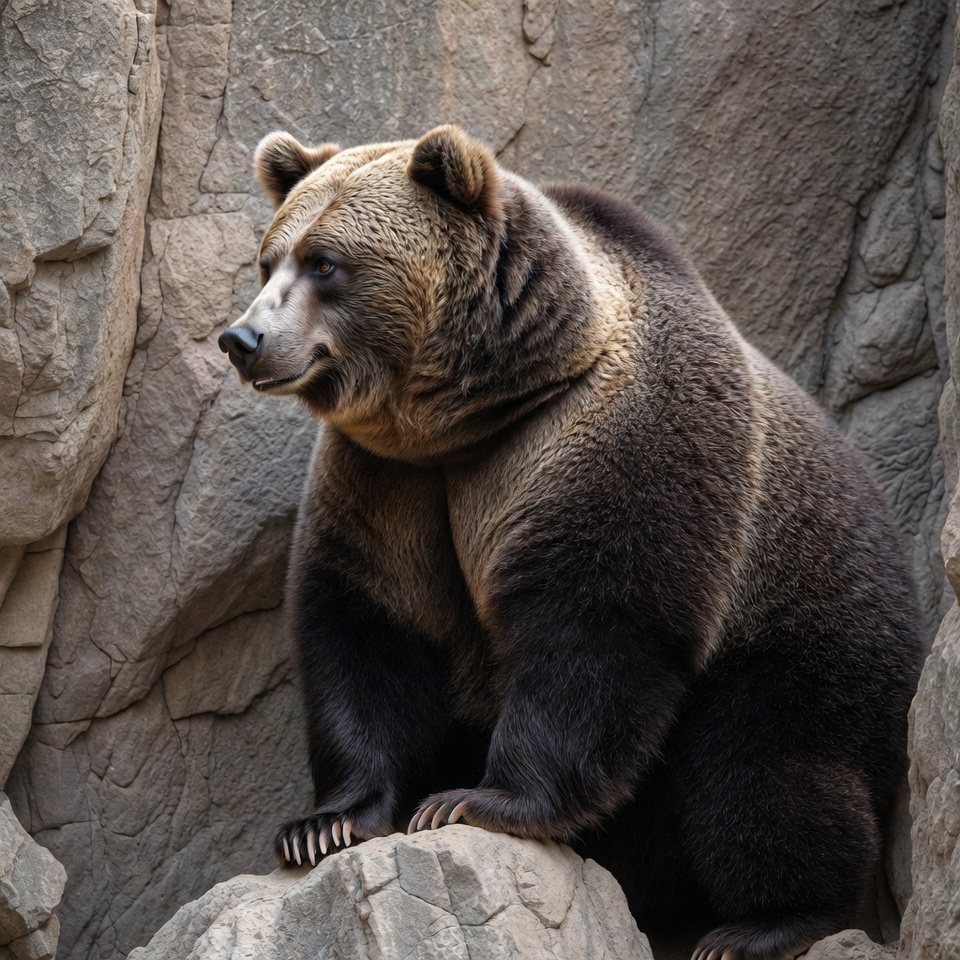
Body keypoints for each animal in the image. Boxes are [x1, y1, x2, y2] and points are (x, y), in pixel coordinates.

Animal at [218, 125, 922, 960]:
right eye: (270, 259)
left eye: (326, 263)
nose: (243, 338)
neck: (476, 415)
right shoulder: (388, 484)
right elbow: (363, 628)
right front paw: (323, 824)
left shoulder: (613, 442)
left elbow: (592, 631)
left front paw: (474, 800)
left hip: (804, 630)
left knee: (763, 773)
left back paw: (761, 922)